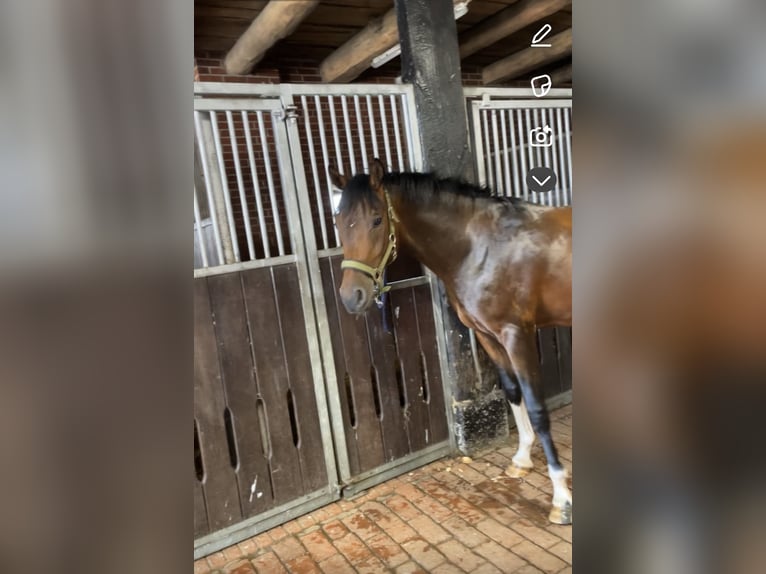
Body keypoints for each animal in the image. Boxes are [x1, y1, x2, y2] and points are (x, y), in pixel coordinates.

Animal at [328, 158, 573, 524]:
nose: (351, 297)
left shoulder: (517, 334)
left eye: (377, 219)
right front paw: (521, 459)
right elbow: (512, 392)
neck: (479, 248)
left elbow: (537, 408)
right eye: (339, 222)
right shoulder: (488, 336)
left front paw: (561, 497)